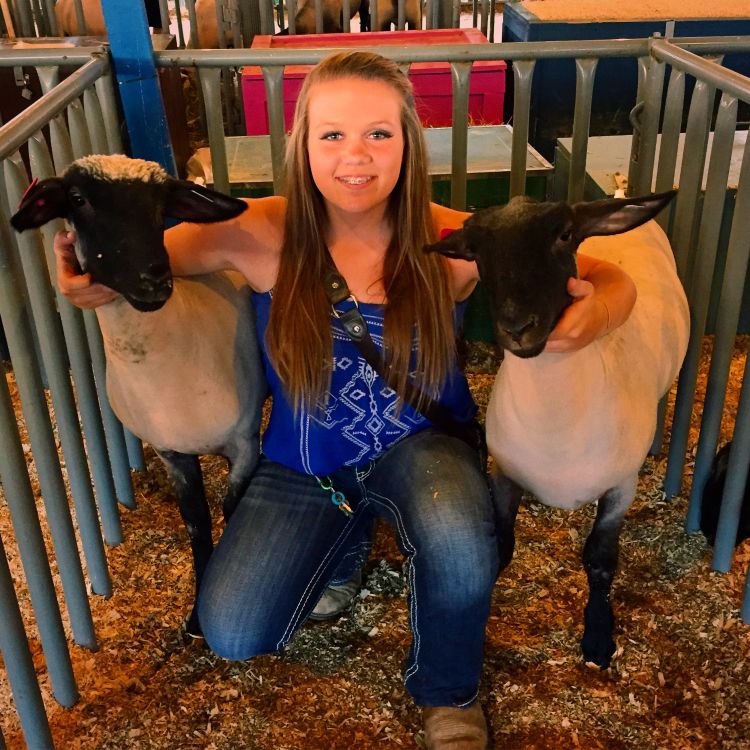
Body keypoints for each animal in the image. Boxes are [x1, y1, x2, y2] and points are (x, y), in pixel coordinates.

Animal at [11, 156, 268, 636]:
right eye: (78, 199)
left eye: (161, 205)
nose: (154, 278)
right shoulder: (171, 452)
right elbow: (197, 523)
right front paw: (196, 618)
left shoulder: (244, 443)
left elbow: (231, 508)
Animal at [428, 192, 692, 668]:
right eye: (474, 251)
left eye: (565, 234)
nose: (517, 327)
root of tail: (617, 199)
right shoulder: (505, 475)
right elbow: (502, 548)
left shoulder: (621, 487)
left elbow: (600, 560)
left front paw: (598, 640)